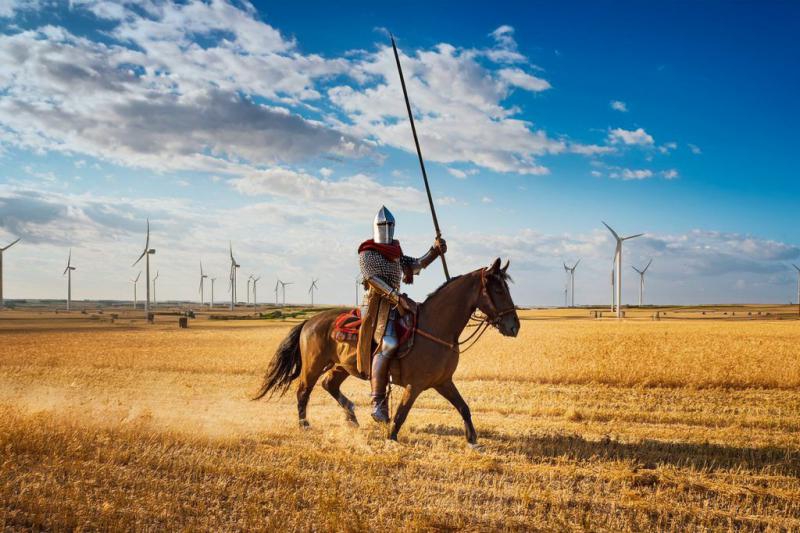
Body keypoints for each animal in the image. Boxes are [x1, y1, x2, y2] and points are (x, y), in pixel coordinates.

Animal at [253, 258, 520, 444]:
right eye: (498, 290)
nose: (514, 326)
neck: (437, 327)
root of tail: (309, 321)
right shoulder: (415, 385)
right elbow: (401, 413)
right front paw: (391, 437)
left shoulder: (443, 381)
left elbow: (464, 407)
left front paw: (473, 440)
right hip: (313, 365)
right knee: (303, 392)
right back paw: (305, 425)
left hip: (343, 366)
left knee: (329, 385)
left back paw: (352, 417)